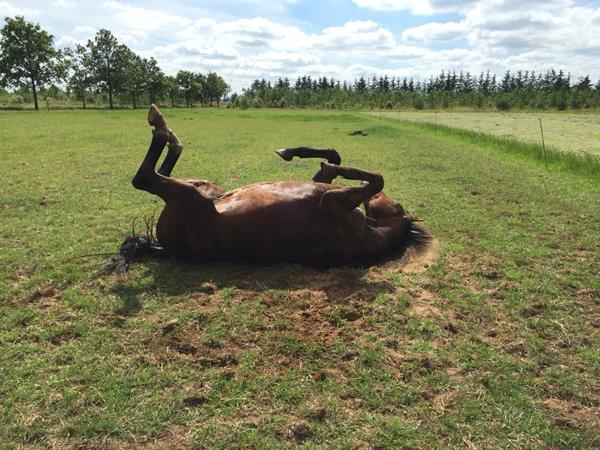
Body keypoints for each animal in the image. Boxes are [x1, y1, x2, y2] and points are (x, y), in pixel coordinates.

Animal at [131, 104, 432, 268]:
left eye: (396, 203)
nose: (385, 198)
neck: (370, 231)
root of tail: (163, 248)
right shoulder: (326, 190)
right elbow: (333, 159)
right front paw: (298, 154)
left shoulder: (332, 202)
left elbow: (378, 176)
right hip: (202, 186)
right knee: (162, 171)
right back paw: (170, 134)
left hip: (188, 196)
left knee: (144, 178)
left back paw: (162, 126)